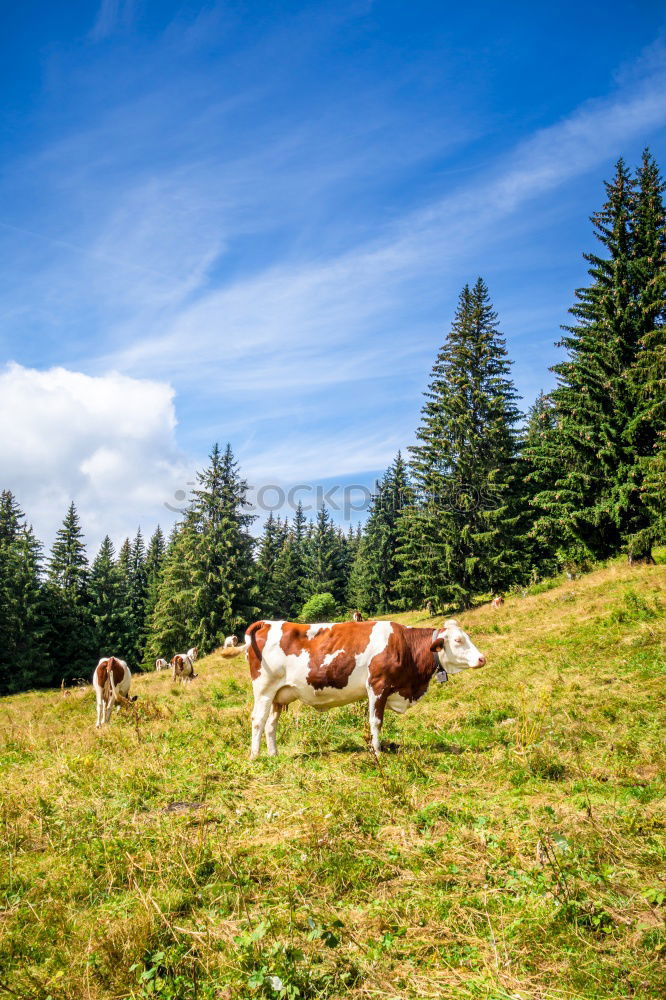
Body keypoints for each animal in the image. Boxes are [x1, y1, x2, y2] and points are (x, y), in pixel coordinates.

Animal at [243, 616, 482, 756]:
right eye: (458, 640)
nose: (482, 658)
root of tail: (268, 622)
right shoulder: (378, 686)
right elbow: (376, 722)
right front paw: (377, 752)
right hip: (264, 689)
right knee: (258, 720)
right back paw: (256, 756)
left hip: (279, 695)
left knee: (271, 724)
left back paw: (274, 754)